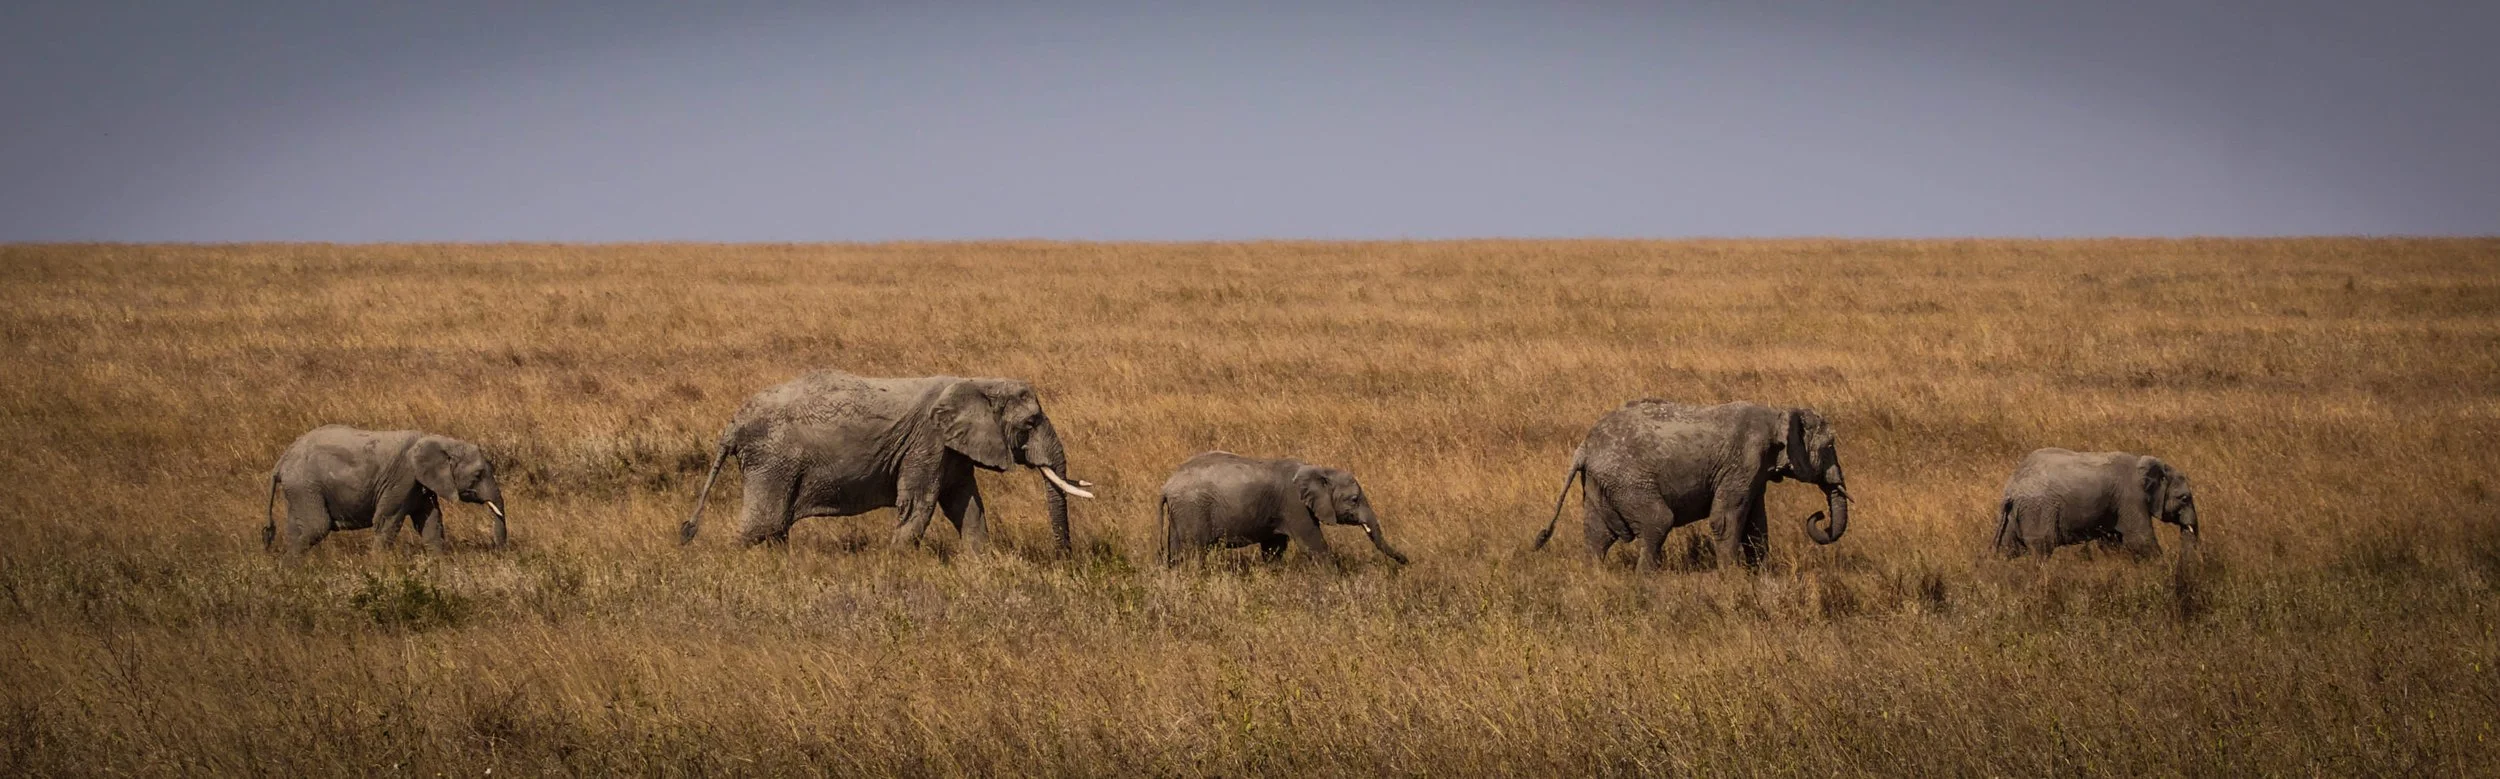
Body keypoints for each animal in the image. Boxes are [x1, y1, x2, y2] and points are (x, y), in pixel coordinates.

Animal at [262, 425, 507, 554]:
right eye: (478, 475)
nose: (500, 551)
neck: (439, 440)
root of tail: (282, 460)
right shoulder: (402, 479)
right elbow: (387, 521)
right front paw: (378, 567)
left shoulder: (419, 486)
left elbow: (431, 522)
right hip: (306, 486)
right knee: (316, 527)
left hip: (299, 490)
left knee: (297, 529)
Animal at [680, 370, 1096, 553]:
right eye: (1030, 423)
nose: (1065, 560)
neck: (975, 381)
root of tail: (733, 424)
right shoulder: (927, 443)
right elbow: (919, 505)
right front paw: (897, 563)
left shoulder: (950, 450)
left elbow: (966, 505)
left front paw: (981, 565)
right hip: (772, 458)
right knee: (763, 523)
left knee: (775, 525)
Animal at [1155, 451, 1410, 566]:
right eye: (1354, 499)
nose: (1407, 561)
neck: (1319, 469)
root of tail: (1166, 486)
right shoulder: (1295, 506)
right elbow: (1314, 547)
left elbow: (1274, 549)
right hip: (1193, 510)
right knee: (1193, 552)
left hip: (1180, 514)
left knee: (1176, 552)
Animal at [1532, 399, 1850, 571]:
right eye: (1829, 446)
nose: (1818, 515)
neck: (1777, 415)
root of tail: (1584, 447)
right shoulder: (1743, 463)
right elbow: (1726, 521)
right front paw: (1732, 579)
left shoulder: (1756, 473)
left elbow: (1756, 525)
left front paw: (1761, 576)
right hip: (1627, 480)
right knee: (1658, 521)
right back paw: (1646, 580)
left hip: (1601, 483)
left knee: (1597, 536)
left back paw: (1594, 577)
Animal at [1994, 448, 2200, 559]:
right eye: (2184, 498)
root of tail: (2012, 488)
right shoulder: (2131, 497)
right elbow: (2141, 540)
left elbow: (2110, 542)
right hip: (2038, 510)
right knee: (2042, 549)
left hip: (2016, 515)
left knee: (2008, 549)